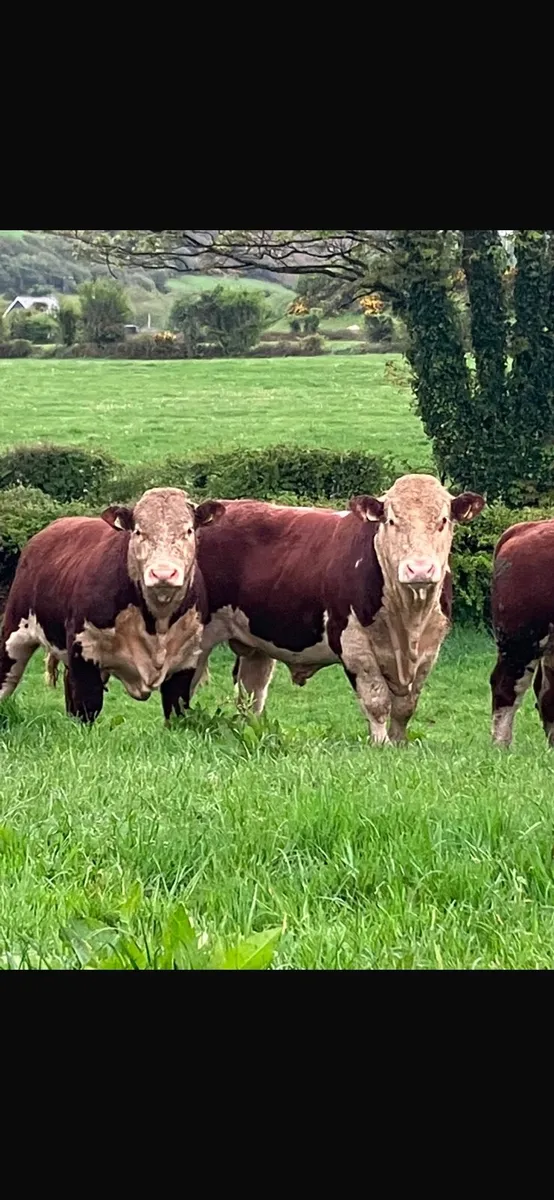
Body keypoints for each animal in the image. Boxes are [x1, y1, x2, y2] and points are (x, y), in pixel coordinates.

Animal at [0, 487, 224, 724]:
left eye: (188, 530)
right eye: (138, 531)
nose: (163, 573)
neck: (157, 621)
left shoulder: (187, 660)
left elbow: (176, 709)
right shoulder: (84, 647)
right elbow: (87, 706)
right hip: (14, 631)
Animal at [163, 475, 485, 745]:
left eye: (443, 520)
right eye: (391, 521)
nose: (419, 569)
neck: (408, 620)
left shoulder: (430, 649)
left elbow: (405, 707)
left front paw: (399, 744)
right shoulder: (355, 646)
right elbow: (377, 701)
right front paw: (381, 745)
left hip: (255, 645)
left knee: (251, 693)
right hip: (192, 634)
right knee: (177, 689)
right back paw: (180, 729)